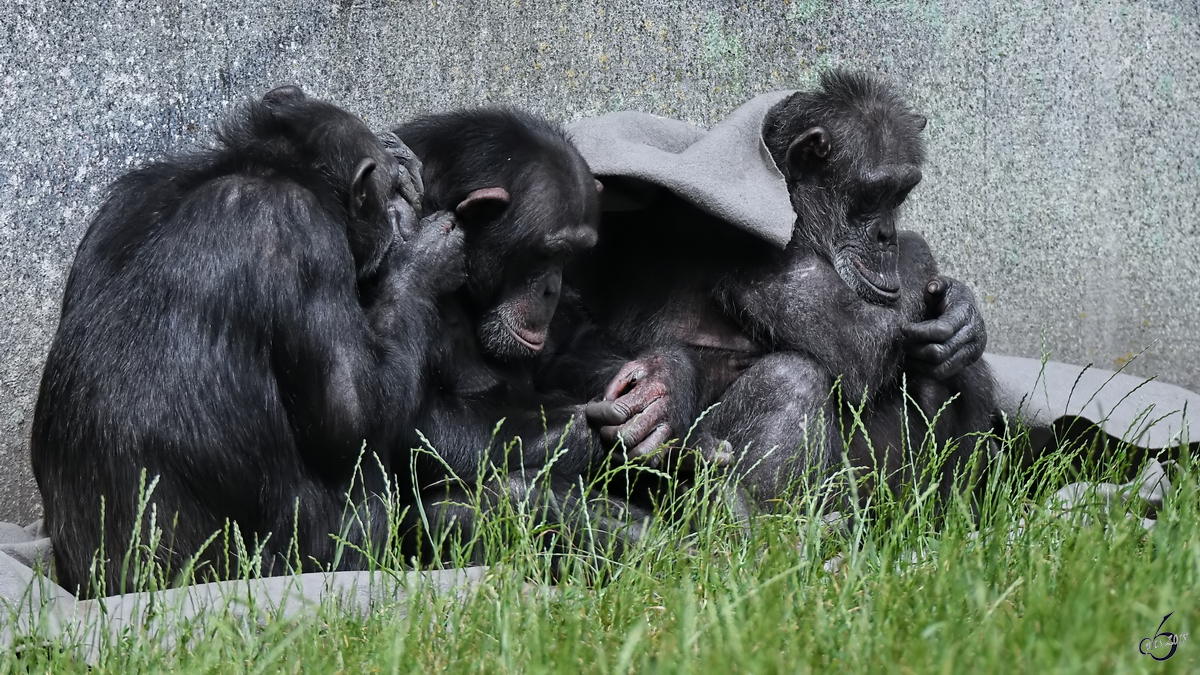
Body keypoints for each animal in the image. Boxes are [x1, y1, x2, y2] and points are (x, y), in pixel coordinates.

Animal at [31, 85, 463, 593]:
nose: (403, 194)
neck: (265, 166)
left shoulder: (123, 197)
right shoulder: (307, 234)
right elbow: (353, 415)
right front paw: (423, 258)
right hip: (300, 560)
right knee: (371, 494)